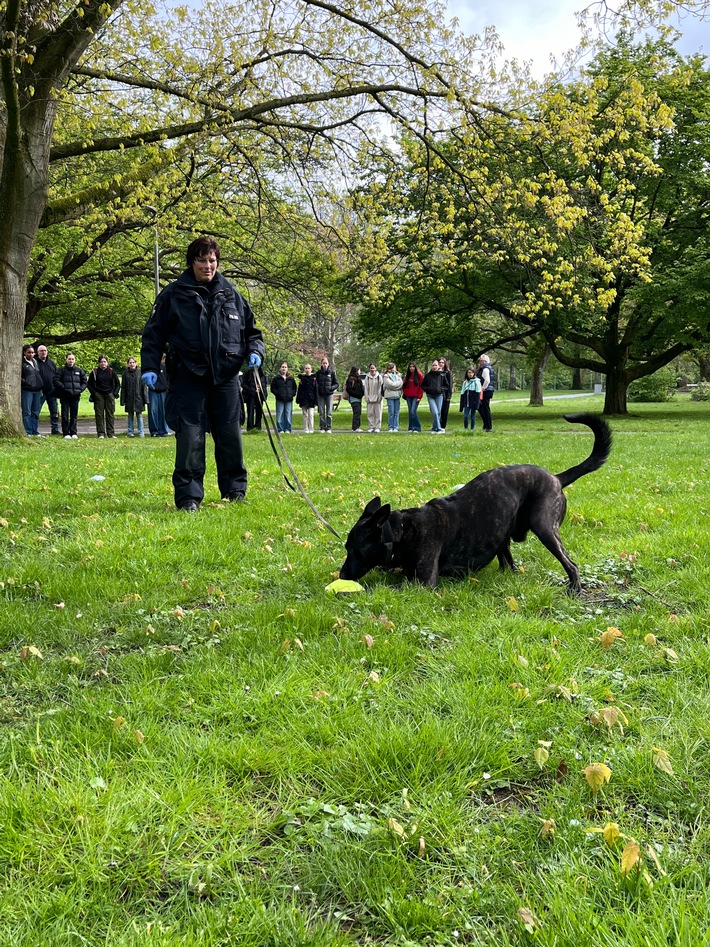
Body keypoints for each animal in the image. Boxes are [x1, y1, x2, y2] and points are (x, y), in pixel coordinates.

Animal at [340, 412, 612, 592]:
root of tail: (556, 478)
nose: (342, 574)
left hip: (545, 527)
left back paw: (574, 589)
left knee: (571, 564)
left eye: (353, 549)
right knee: (508, 562)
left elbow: (384, 588)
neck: (402, 530)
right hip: (503, 530)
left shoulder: (422, 582)